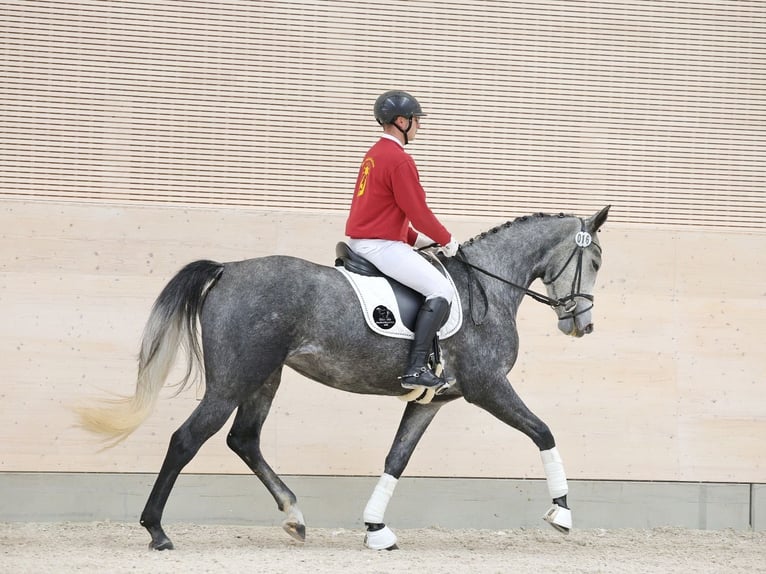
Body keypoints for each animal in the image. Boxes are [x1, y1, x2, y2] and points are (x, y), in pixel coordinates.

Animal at [76, 206, 610, 551]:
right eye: (596, 261)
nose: (582, 325)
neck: (489, 286)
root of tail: (228, 270)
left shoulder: (432, 400)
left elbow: (396, 458)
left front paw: (376, 529)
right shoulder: (488, 387)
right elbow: (543, 431)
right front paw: (562, 512)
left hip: (264, 378)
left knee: (244, 439)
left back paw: (294, 518)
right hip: (233, 379)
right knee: (187, 439)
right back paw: (157, 531)